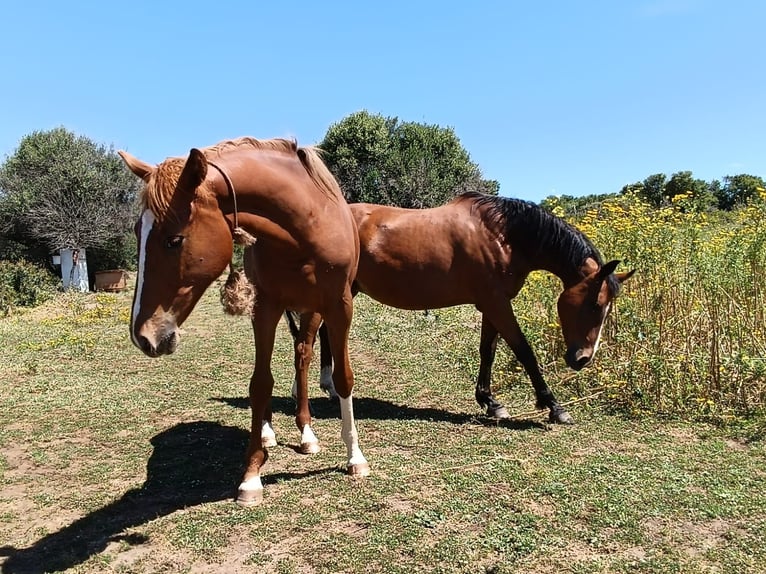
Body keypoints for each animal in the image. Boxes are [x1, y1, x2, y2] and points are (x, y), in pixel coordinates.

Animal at [120, 137, 368, 506]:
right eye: (138, 232)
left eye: (174, 240)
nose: (143, 336)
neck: (304, 228)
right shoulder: (264, 307)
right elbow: (260, 384)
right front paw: (251, 476)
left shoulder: (339, 306)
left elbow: (343, 379)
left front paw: (355, 457)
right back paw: (266, 432)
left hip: (312, 312)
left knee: (303, 356)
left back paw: (306, 433)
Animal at [272, 195, 632, 454]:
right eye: (595, 304)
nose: (582, 359)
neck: (501, 235)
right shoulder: (498, 304)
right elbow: (524, 351)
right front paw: (553, 406)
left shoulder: (492, 305)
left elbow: (488, 351)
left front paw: (490, 402)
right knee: (305, 344)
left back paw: (326, 388)